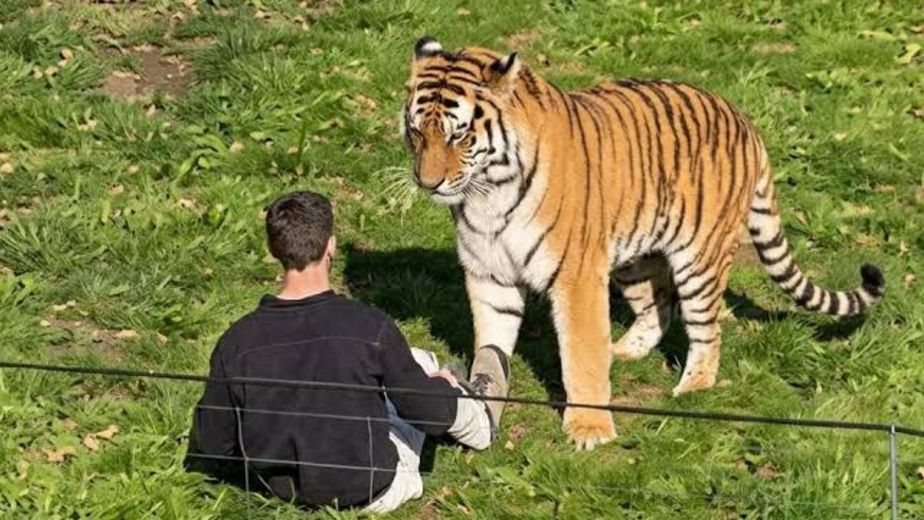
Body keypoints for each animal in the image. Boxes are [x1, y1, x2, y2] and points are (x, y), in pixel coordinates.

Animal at [400, 36, 885, 450]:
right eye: (417, 132)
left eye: (460, 134)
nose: (428, 182)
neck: (488, 194)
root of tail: (744, 120)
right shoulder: (490, 274)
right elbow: (493, 341)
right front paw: (486, 402)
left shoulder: (576, 277)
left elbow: (581, 353)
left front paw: (590, 430)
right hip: (635, 259)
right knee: (658, 308)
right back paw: (623, 351)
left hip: (700, 260)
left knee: (707, 329)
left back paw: (691, 388)